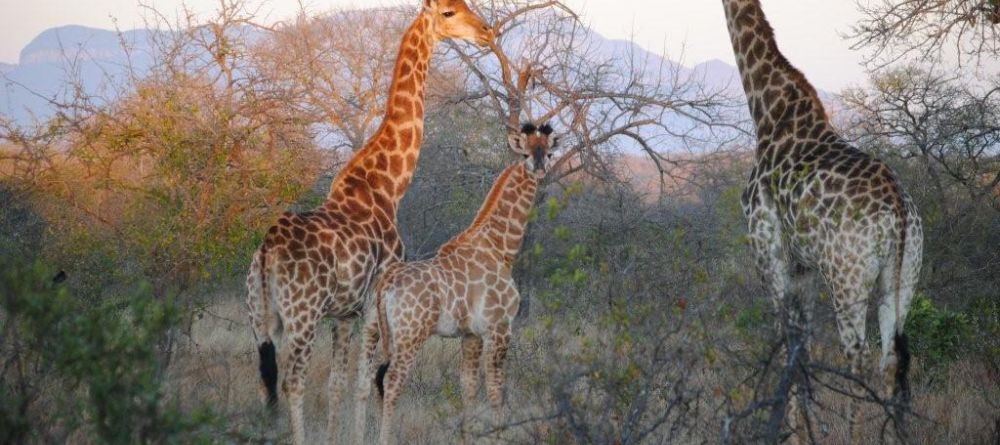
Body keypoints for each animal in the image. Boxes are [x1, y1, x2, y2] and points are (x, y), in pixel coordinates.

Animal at [245, 2, 493, 443]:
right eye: (449, 12)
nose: (486, 32)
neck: (388, 185)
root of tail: (266, 251)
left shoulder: (344, 313)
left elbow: (338, 384)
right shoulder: (373, 304)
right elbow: (362, 384)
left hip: (261, 316)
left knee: (266, 381)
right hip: (302, 314)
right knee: (293, 382)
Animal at [354, 123, 555, 445]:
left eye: (548, 152)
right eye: (525, 153)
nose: (539, 168)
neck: (500, 247)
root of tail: (385, 282)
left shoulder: (470, 334)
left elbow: (468, 389)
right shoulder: (499, 327)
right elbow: (496, 390)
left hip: (371, 326)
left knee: (362, 380)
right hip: (411, 333)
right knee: (391, 380)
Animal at [721, 0, 923, 441]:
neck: (769, 112)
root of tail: (899, 213)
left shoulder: (769, 255)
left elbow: (788, 348)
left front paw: (792, 433)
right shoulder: (804, 267)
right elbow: (804, 349)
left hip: (847, 277)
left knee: (857, 355)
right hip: (903, 277)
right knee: (891, 358)